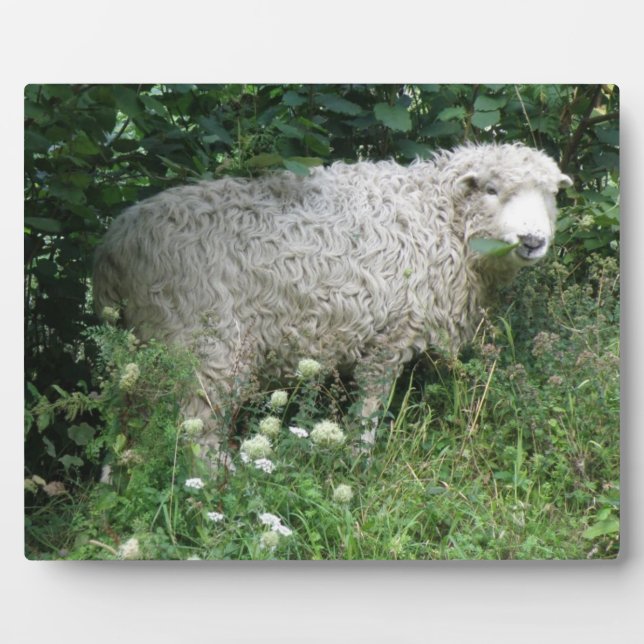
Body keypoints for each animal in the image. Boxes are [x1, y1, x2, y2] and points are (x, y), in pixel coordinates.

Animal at [93, 142, 572, 456]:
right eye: (491, 189)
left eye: (551, 194)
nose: (533, 240)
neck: (436, 217)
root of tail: (114, 247)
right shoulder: (389, 336)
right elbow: (369, 410)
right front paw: (360, 461)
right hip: (205, 345)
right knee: (197, 430)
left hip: (137, 350)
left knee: (122, 423)